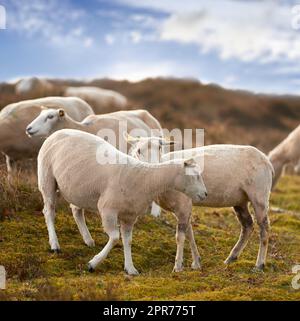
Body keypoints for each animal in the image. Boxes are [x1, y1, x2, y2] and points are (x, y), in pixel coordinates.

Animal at [37, 129, 207, 274]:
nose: (205, 194)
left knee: (76, 210)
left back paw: (88, 240)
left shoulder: (130, 216)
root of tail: (57, 132)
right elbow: (114, 238)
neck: (146, 179)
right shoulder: (107, 209)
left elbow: (127, 240)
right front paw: (93, 264)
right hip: (47, 179)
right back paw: (55, 245)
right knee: (49, 211)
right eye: (195, 175)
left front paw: (130, 268)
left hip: (78, 189)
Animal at [126, 135, 274, 270]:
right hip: (240, 200)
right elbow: (189, 233)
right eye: (138, 150)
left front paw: (177, 266)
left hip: (259, 195)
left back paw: (259, 265)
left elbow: (180, 236)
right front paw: (196, 262)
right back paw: (231, 258)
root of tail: (266, 160)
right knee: (248, 225)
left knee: (264, 228)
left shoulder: (183, 204)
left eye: (160, 148)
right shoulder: (183, 207)